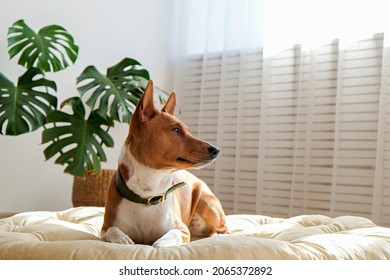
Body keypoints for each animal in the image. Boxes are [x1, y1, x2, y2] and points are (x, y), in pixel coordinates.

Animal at [101, 80, 229, 247]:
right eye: (176, 129)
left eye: (188, 131)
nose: (216, 150)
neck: (147, 195)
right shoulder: (104, 229)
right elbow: (113, 230)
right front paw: (122, 239)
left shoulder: (182, 230)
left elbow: (171, 234)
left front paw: (161, 243)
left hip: (207, 204)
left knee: (223, 230)